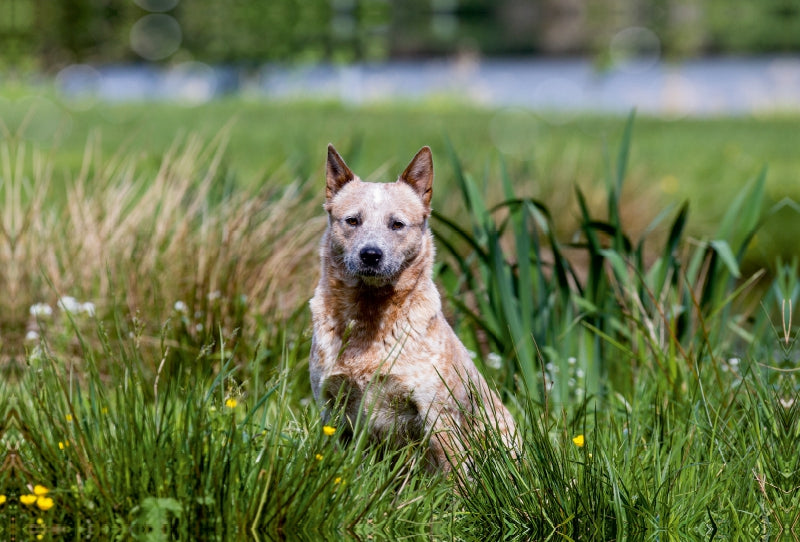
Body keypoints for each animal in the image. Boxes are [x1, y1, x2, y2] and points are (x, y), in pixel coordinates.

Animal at [310, 144, 516, 472]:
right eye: (353, 221)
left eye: (397, 224)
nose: (371, 254)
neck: (371, 319)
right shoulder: (331, 408)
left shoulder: (436, 413)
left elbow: (455, 474)